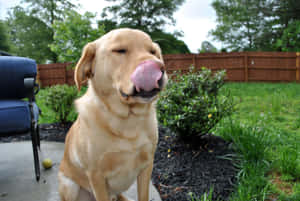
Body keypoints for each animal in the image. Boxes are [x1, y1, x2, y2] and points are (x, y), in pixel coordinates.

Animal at [57, 28, 168, 201]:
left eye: (153, 51)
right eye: (120, 50)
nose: (158, 66)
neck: (127, 120)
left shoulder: (147, 165)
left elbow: (143, 195)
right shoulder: (96, 175)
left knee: (118, 195)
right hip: (69, 185)